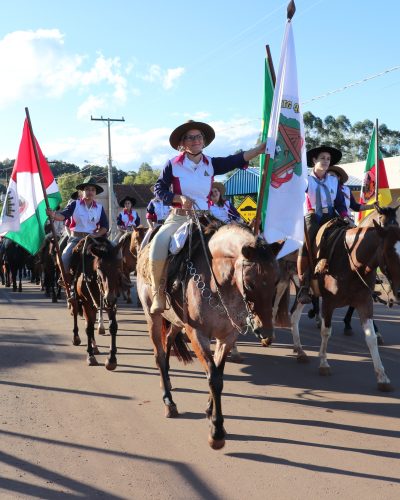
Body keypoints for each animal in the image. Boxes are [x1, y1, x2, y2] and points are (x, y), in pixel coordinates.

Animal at [69, 236, 124, 370]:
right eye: (99, 268)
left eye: (118, 266)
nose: (109, 298)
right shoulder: (87, 303)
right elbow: (88, 328)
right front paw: (90, 356)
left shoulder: (111, 304)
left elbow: (113, 327)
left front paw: (111, 359)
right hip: (79, 301)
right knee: (78, 314)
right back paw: (77, 338)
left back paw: (95, 347)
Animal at [138, 220, 284, 450]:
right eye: (250, 283)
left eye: (276, 280)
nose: (266, 332)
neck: (219, 284)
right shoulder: (197, 334)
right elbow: (213, 377)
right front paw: (216, 431)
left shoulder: (227, 337)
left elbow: (217, 373)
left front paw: (210, 410)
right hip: (152, 315)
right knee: (159, 355)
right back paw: (168, 401)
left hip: (176, 322)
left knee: (168, 340)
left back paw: (167, 382)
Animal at [290, 222, 400, 390]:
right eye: (389, 252)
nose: (399, 293)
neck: (352, 263)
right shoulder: (328, 303)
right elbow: (326, 332)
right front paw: (324, 363)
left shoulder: (364, 302)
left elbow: (371, 338)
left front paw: (382, 377)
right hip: (299, 287)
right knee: (293, 314)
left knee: (294, 316)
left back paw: (300, 350)